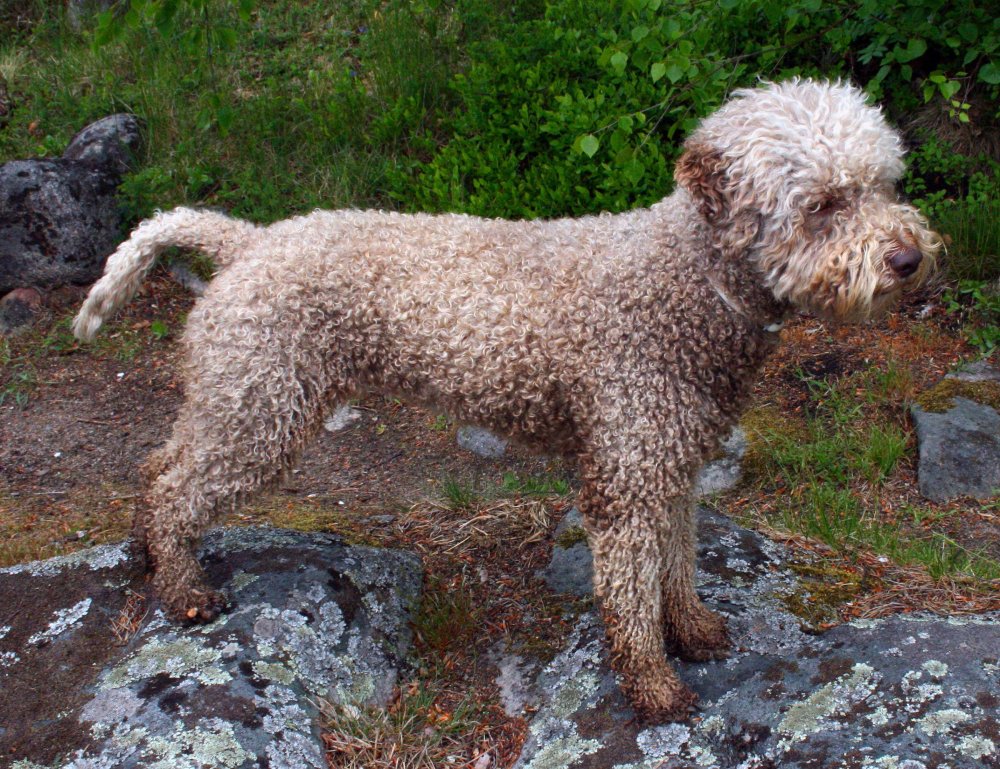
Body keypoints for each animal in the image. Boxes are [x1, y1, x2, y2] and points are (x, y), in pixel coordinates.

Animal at [74, 79, 940, 720]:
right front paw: (654, 687)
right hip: (261, 405)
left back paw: (151, 556)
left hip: (238, 398)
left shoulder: (671, 461)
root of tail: (246, 240)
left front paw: (693, 629)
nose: (909, 259)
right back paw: (183, 588)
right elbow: (630, 593)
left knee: (157, 465)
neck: (684, 282)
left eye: (885, 184)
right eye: (823, 203)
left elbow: (679, 561)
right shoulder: (626, 475)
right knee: (175, 483)